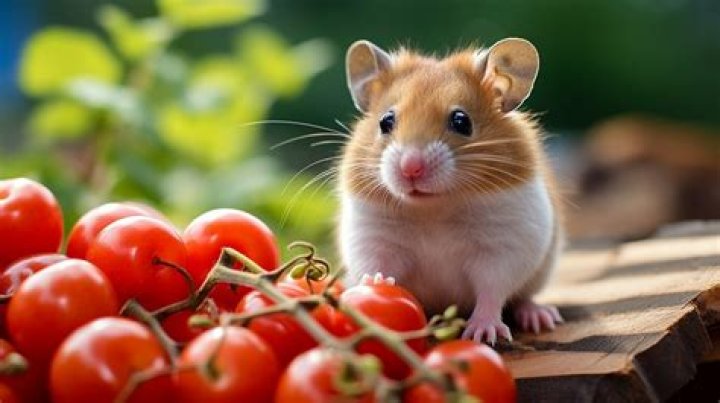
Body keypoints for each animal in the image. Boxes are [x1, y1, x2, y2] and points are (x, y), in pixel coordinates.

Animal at [337, 38, 564, 344]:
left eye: (461, 121)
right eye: (385, 122)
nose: (410, 168)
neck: (434, 208)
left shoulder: (503, 248)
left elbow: (492, 291)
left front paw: (482, 334)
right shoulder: (372, 237)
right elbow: (377, 263)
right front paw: (376, 284)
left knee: (522, 298)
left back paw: (540, 317)